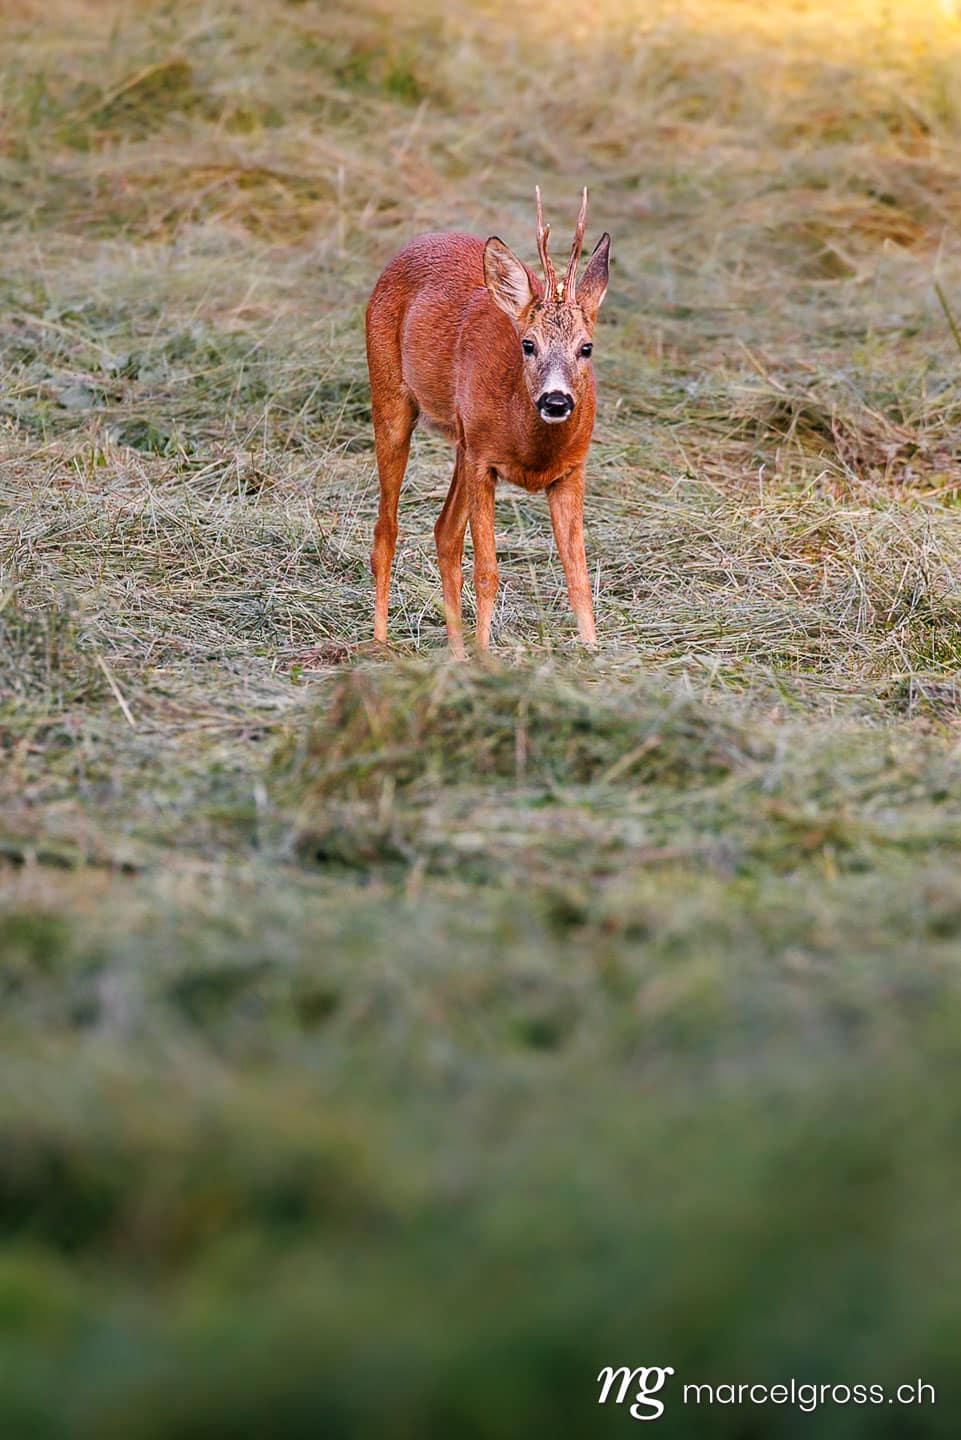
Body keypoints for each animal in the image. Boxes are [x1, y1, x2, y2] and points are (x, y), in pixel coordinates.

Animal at [365, 187, 611, 658]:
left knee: (444, 531)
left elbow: (578, 575)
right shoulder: (485, 463)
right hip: (391, 398)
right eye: (528, 344)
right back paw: (380, 643)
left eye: (586, 347)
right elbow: (487, 572)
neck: (533, 454)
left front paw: (592, 654)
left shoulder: (572, 470)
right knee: (387, 528)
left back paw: (455, 655)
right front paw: (485, 657)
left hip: (463, 442)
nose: (556, 400)